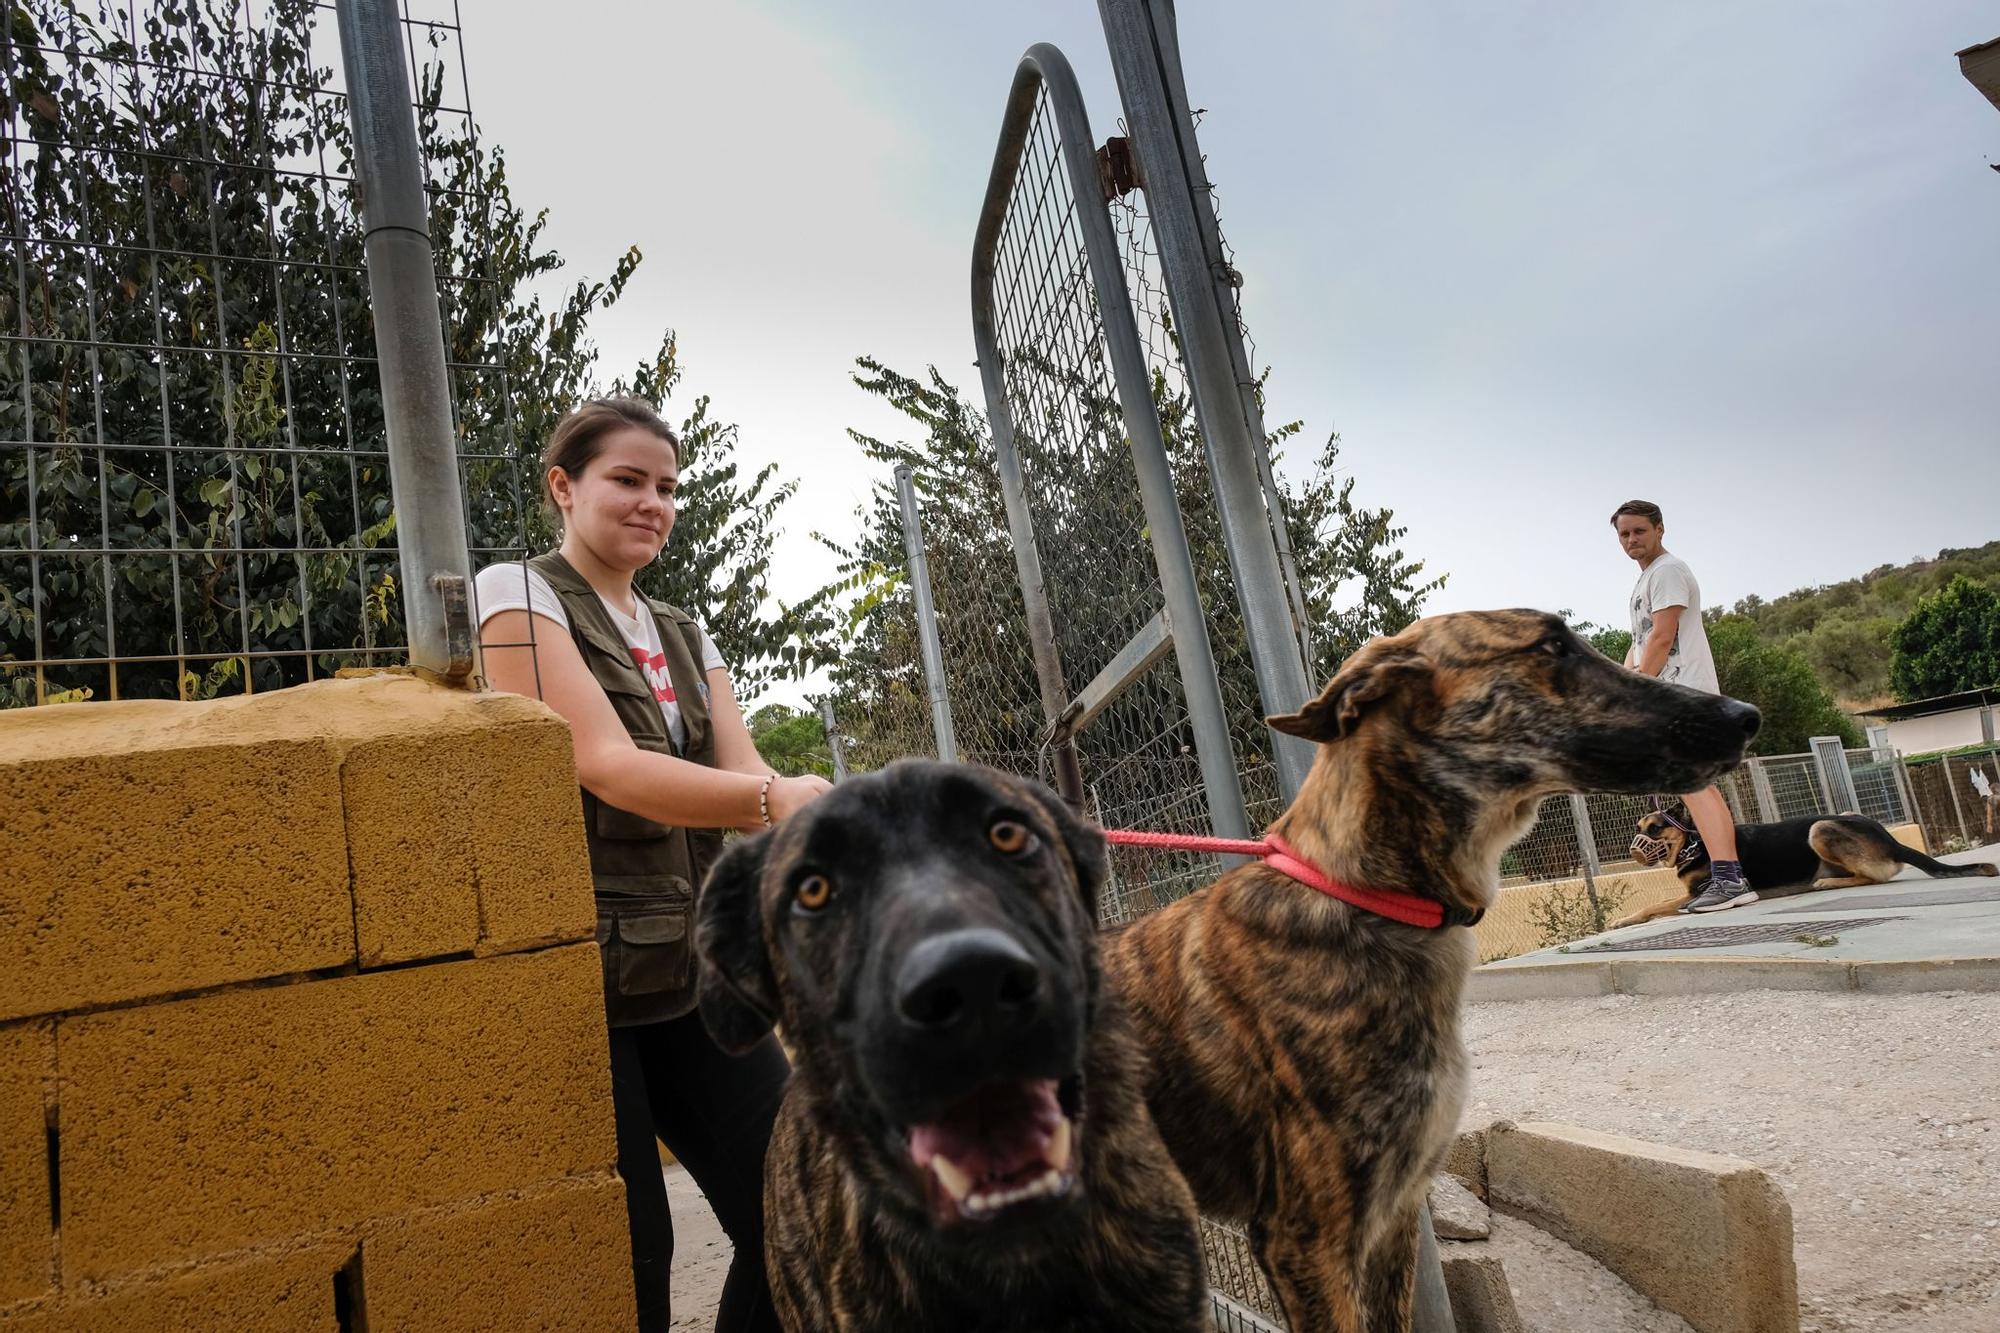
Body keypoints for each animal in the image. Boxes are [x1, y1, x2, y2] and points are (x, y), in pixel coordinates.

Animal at [1608, 792, 2000, 920]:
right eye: (1638, 826)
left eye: (1654, 828)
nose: (1633, 849)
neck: (1696, 841)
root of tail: (1890, 838)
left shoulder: (1692, 896)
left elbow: (1654, 904)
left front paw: (1623, 920)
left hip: (1821, 827)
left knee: (1872, 877)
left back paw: (1827, 883)